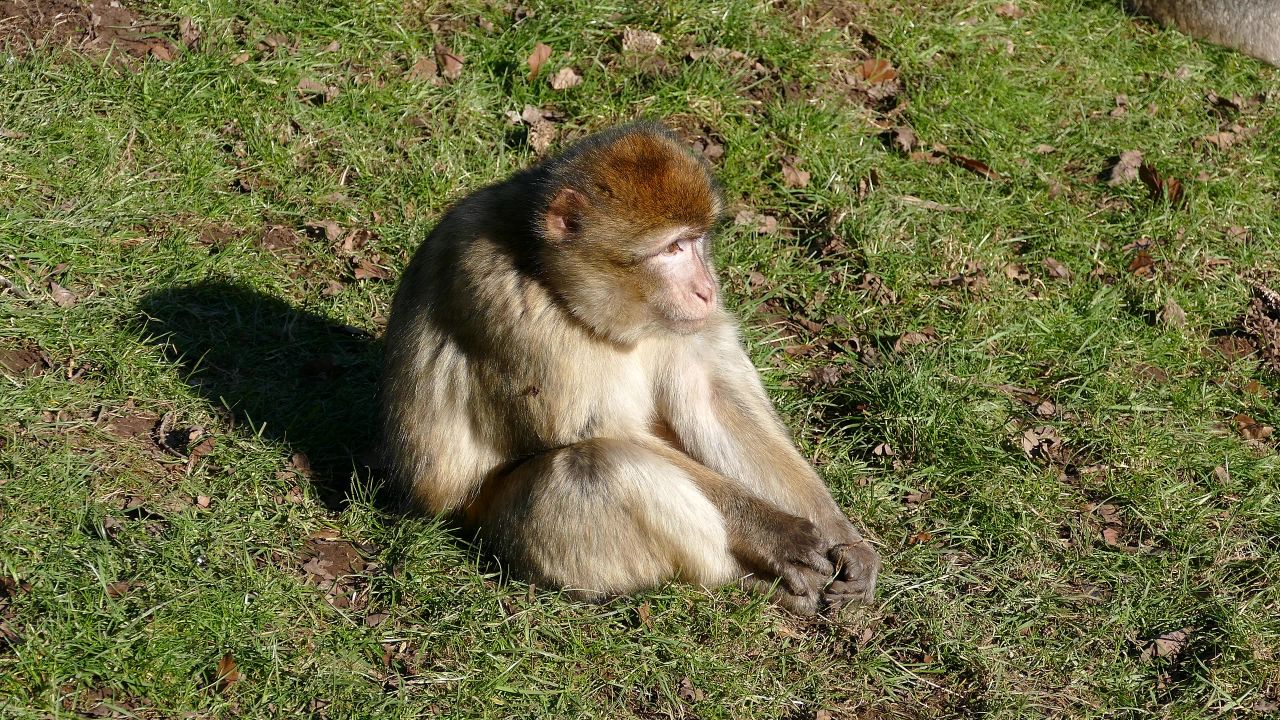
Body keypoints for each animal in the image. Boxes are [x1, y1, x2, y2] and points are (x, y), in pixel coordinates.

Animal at [378, 121, 880, 609]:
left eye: (695, 242)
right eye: (671, 249)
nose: (707, 290)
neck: (550, 277)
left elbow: (712, 399)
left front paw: (844, 539)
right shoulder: (504, 301)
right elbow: (598, 431)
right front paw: (772, 531)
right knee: (594, 466)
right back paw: (745, 581)